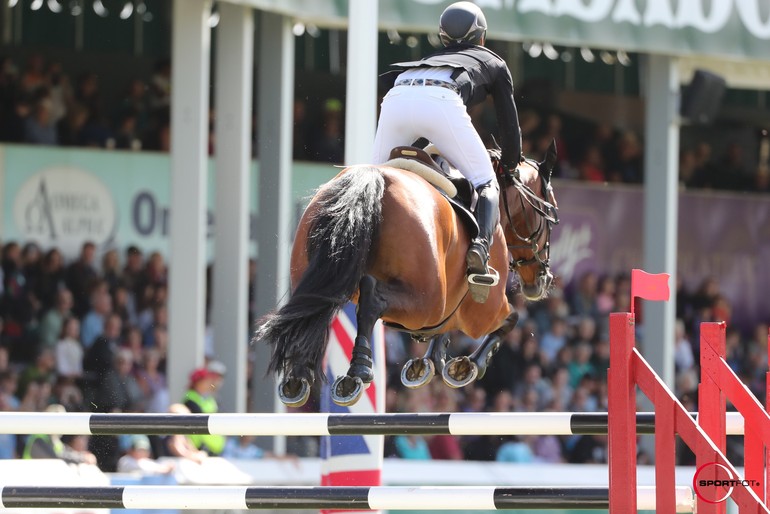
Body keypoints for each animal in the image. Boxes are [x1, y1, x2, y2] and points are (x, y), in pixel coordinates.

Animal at [255, 143, 556, 404]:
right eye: (548, 212)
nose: (541, 281)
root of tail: (372, 177)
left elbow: (449, 327)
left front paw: (430, 362)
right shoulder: (482, 310)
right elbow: (511, 319)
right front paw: (467, 366)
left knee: (309, 312)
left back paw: (297, 378)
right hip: (426, 303)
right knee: (371, 298)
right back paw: (358, 372)